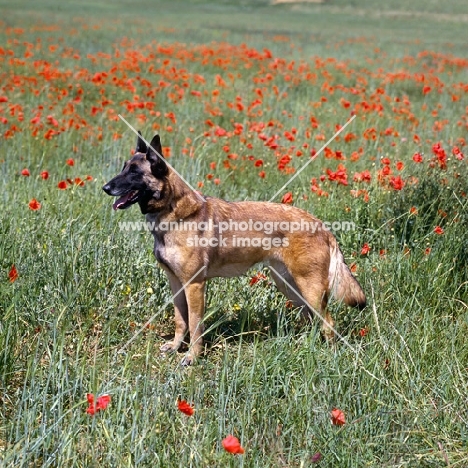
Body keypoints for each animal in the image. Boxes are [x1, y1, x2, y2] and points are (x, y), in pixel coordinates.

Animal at [102, 132, 366, 366]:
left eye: (134, 172)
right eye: (123, 168)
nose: (105, 187)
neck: (173, 212)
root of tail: (322, 226)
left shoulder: (195, 285)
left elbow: (195, 324)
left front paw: (192, 357)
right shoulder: (176, 283)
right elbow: (180, 321)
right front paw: (176, 347)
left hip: (309, 289)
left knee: (328, 323)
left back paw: (328, 356)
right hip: (290, 286)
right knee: (311, 319)